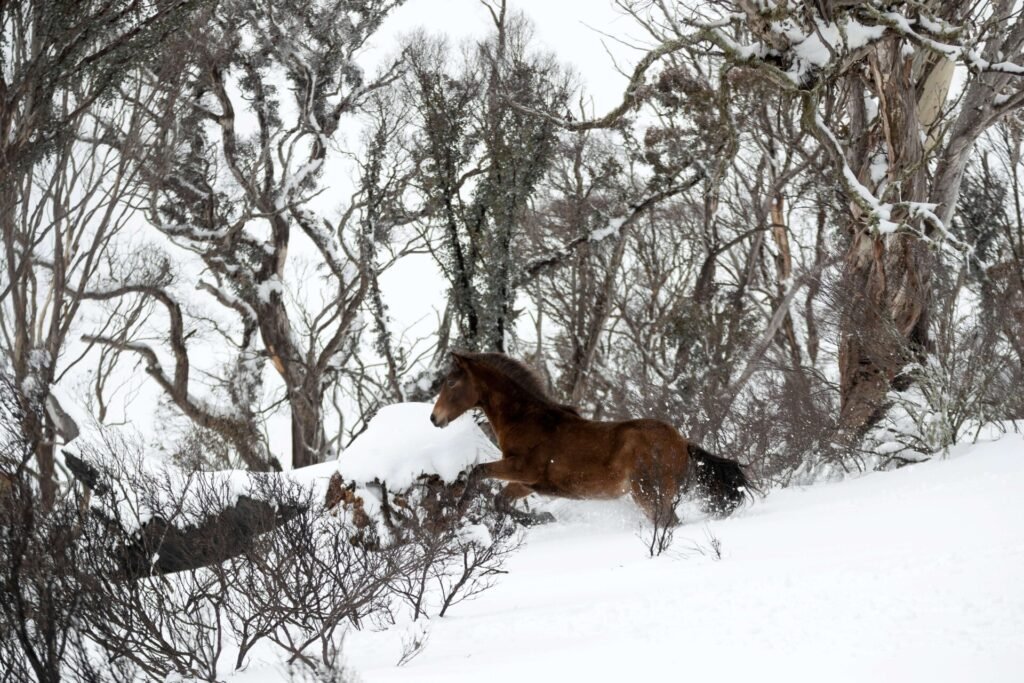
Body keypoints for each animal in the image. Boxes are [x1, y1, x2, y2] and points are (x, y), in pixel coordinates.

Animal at [428, 352, 757, 524]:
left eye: (451, 382)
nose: (434, 418)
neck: (525, 420)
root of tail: (683, 443)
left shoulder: (521, 468)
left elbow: (477, 472)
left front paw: (457, 509)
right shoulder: (525, 483)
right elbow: (500, 501)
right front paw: (543, 518)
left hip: (648, 492)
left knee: (666, 522)